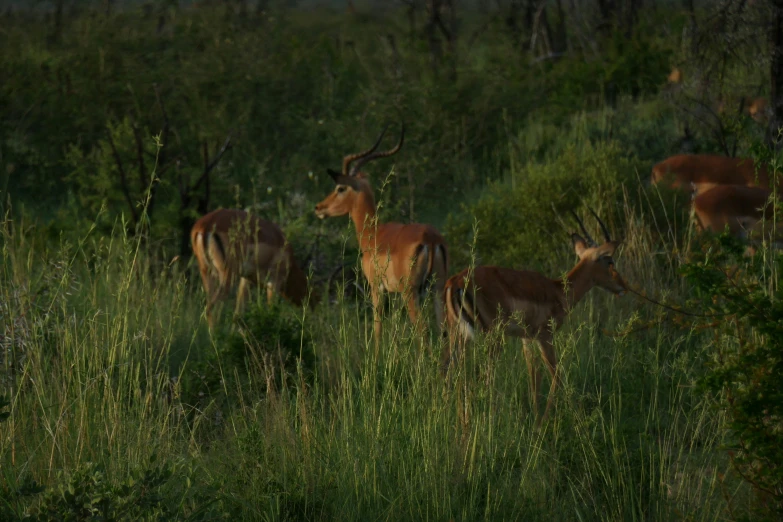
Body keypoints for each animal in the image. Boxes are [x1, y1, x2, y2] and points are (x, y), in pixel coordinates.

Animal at [312, 122, 448, 342]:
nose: (319, 208)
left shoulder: (376, 288)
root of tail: (430, 239)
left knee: (423, 330)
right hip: (437, 289)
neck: (374, 234)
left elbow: (377, 329)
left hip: (411, 293)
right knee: (445, 331)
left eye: (340, 188)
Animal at [444, 207, 628, 422]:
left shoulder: (527, 339)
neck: (558, 291)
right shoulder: (545, 336)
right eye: (610, 260)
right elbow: (556, 375)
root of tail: (456, 282)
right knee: (484, 379)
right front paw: (555, 420)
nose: (622, 286)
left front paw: (537, 418)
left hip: (459, 335)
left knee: (452, 374)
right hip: (492, 338)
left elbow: (534, 378)